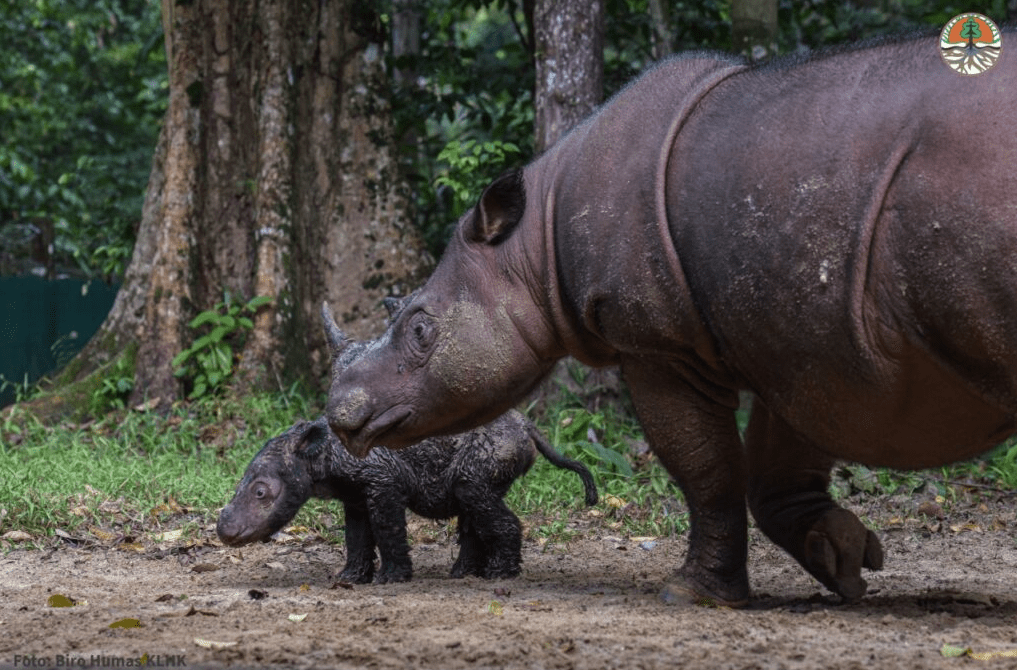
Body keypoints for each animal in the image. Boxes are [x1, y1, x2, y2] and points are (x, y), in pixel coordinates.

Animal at [323, 31, 1017, 606]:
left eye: (420, 329)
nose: (337, 413)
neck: (532, 247)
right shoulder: (799, 339)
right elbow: (771, 471)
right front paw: (844, 561)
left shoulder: (660, 344)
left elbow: (708, 471)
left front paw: (693, 593)